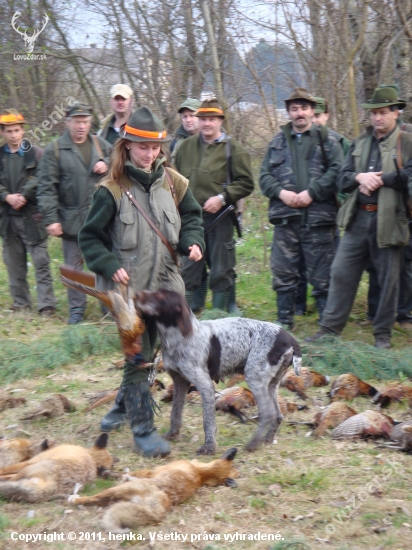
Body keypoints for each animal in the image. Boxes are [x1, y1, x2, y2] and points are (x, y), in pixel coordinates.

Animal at [69, 448, 240, 536]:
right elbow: (126, 474)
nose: (234, 450)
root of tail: (165, 499)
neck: (201, 474)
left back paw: (75, 498)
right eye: (235, 468)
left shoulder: (152, 472)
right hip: (122, 498)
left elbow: (126, 474)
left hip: (116, 491)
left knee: (93, 499)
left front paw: (111, 474)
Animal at [135, 292, 302, 454]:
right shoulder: (180, 382)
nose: (136, 295)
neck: (179, 337)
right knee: (278, 415)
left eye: (160, 296)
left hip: (255, 378)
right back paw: (267, 439)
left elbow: (208, 421)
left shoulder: (205, 385)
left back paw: (254, 443)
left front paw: (209, 447)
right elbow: (175, 413)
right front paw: (172, 434)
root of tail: (290, 339)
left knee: (268, 413)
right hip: (271, 384)